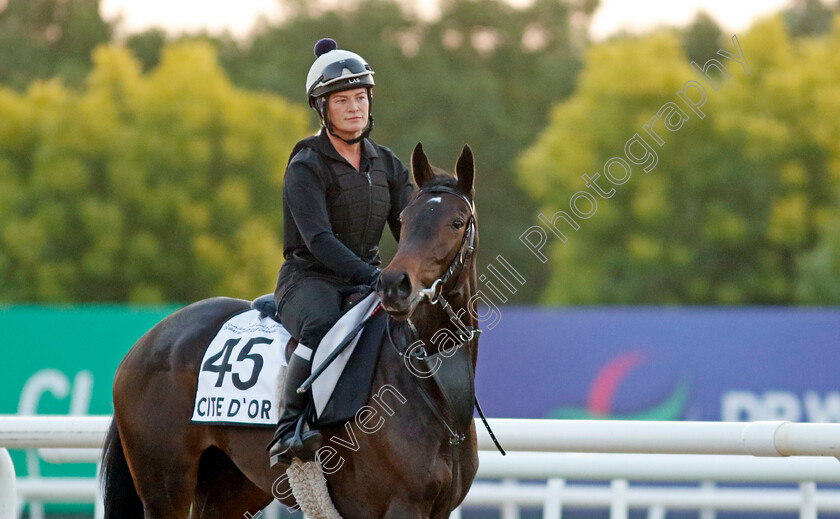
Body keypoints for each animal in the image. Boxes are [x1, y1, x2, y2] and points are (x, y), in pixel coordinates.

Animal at [103, 143, 486, 519]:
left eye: (456, 223)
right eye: (405, 221)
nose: (394, 286)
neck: (428, 386)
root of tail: (146, 342)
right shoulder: (401, 507)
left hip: (231, 488)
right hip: (165, 490)